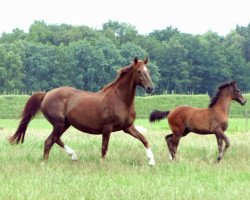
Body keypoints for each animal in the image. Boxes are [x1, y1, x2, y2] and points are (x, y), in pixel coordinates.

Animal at [10, 57, 155, 165]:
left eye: (148, 70)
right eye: (139, 71)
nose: (150, 88)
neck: (119, 99)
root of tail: (46, 94)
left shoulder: (127, 127)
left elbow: (144, 139)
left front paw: (151, 161)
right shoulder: (107, 128)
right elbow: (104, 148)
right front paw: (102, 164)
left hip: (65, 124)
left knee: (52, 140)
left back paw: (66, 157)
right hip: (59, 124)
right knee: (51, 140)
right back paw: (54, 160)